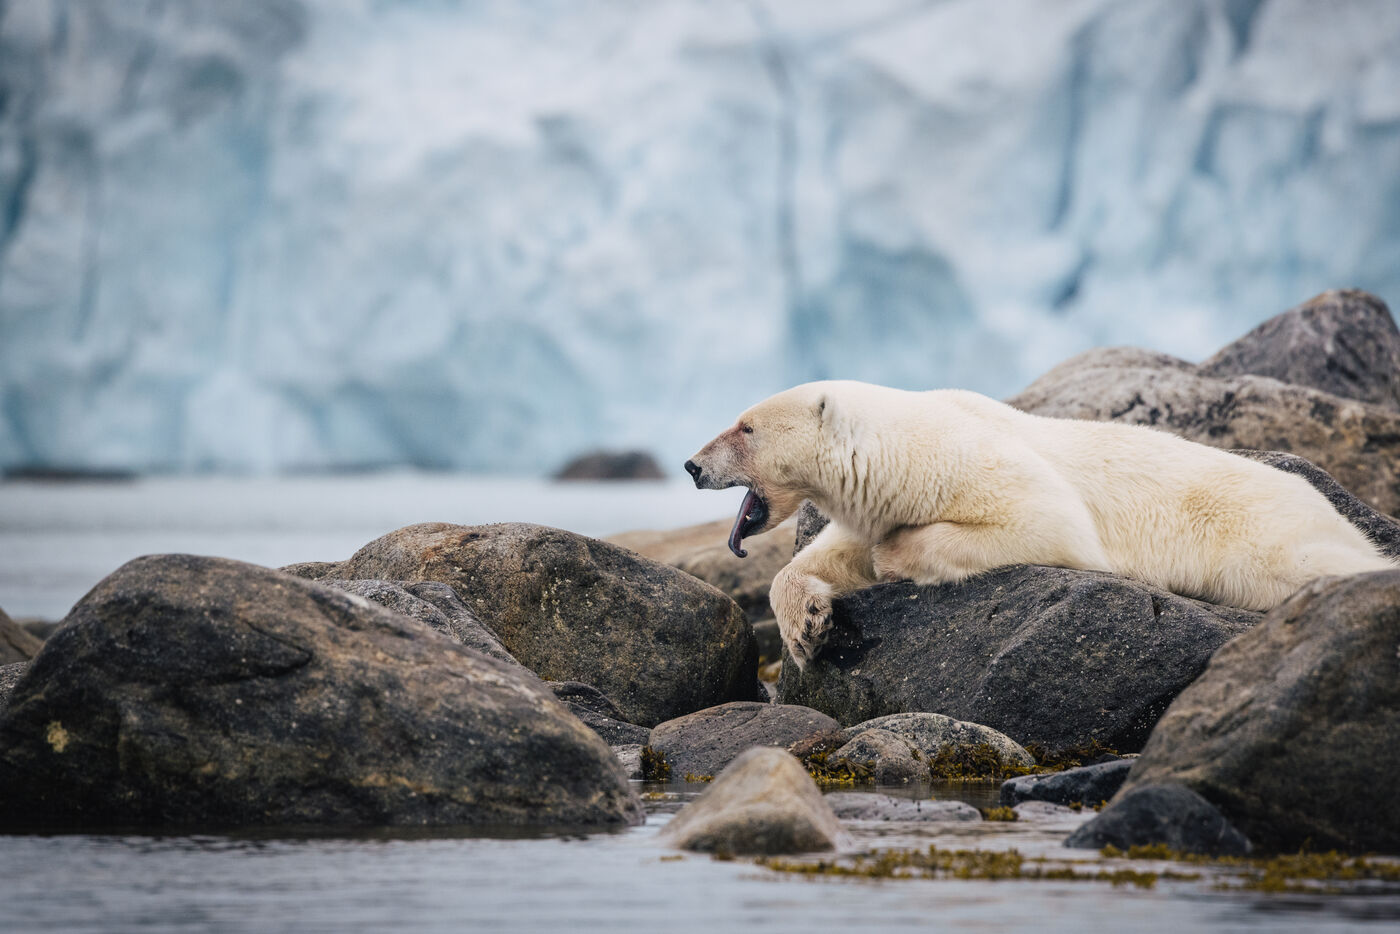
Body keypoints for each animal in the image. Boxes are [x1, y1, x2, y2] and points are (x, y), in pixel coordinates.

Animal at [684, 380, 1397, 668]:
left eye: (745, 427)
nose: (691, 465)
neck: (900, 444)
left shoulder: (966, 463)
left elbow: (1046, 520)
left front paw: (896, 556)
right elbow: (831, 556)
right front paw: (808, 626)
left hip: (1255, 536)